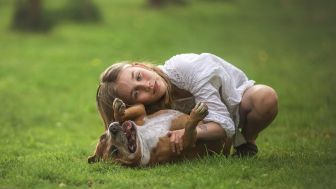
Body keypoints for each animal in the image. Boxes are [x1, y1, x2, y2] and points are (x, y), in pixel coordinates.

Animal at [88, 98, 232, 166]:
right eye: (114, 151)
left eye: (102, 137)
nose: (112, 129)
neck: (143, 138)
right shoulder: (186, 142)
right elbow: (189, 128)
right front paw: (196, 114)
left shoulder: (142, 114)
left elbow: (138, 107)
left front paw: (118, 110)